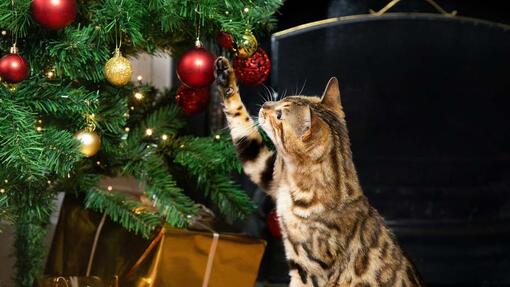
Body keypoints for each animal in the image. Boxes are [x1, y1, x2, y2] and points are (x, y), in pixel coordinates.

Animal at [213, 56, 424, 287]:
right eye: (282, 99)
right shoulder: (270, 173)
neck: (292, 185)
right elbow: (243, 129)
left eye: (279, 115)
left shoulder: (308, 270)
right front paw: (225, 79)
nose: (266, 105)